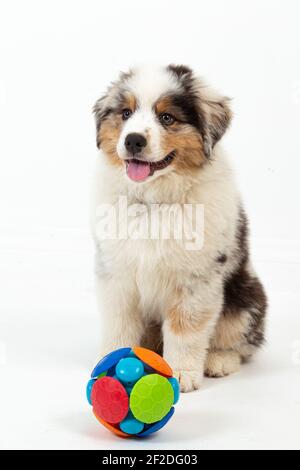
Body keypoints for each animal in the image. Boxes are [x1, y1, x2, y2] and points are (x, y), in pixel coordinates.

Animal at [91, 64, 268, 392]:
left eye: (167, 118)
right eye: (125, 113)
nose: (133, 140)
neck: (155, 202)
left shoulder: (196, 279)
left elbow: (186, 328)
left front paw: (181, 373)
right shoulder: (116, 274)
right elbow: (119, 323)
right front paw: (108, 363)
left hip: (246, 301)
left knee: (240, 342)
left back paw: (219, 361)